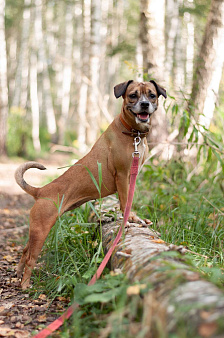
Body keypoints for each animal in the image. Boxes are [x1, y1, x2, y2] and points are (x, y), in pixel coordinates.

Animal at [14, 79, 166, 288]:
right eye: (133, 95)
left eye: (151, 95)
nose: (144, 104)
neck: (132, 132)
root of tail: (41, 191)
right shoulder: (123, 176)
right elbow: (126, 202)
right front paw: (130, 220)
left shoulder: (129, 177)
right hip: (41, 230)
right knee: (30, 258)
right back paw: (25, 284)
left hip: (35, 230)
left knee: (24, 252)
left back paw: (18, 275)